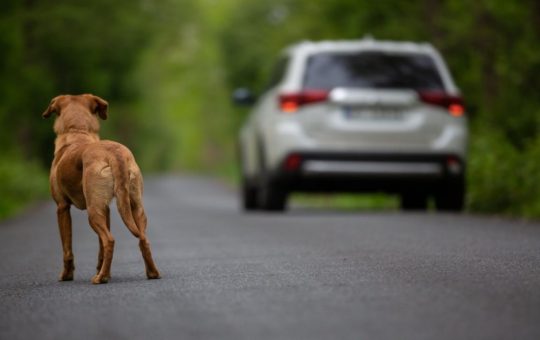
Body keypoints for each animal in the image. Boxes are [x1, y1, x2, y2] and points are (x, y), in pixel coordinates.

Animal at [42, 93, 160, 284]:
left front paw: (66, 275)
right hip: (135, 207)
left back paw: (101, 278)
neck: (77, 131)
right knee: (143, 239)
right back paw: (151, 273)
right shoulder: (107, 209)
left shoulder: (62, 207)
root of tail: (114, 153)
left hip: (93, 211)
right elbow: (100, 250)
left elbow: (67, 248)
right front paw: (102, 269)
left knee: (109, 240)